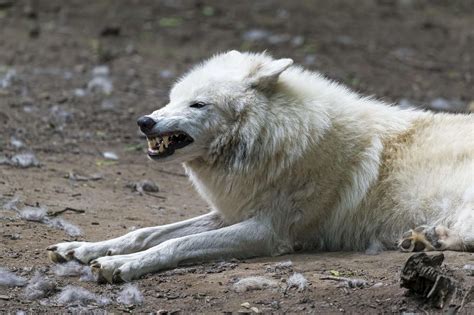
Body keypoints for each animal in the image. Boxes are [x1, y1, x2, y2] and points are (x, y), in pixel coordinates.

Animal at [49, 51, 474, 284]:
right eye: (173, 99)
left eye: (198, 105)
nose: (145, 121)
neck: (273, 139)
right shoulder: (232, 211)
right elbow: (146, 232)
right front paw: (82, 248)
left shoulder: (267, 231)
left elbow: (174, 243)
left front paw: (120, 265)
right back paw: (420, 239)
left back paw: (430, 238)